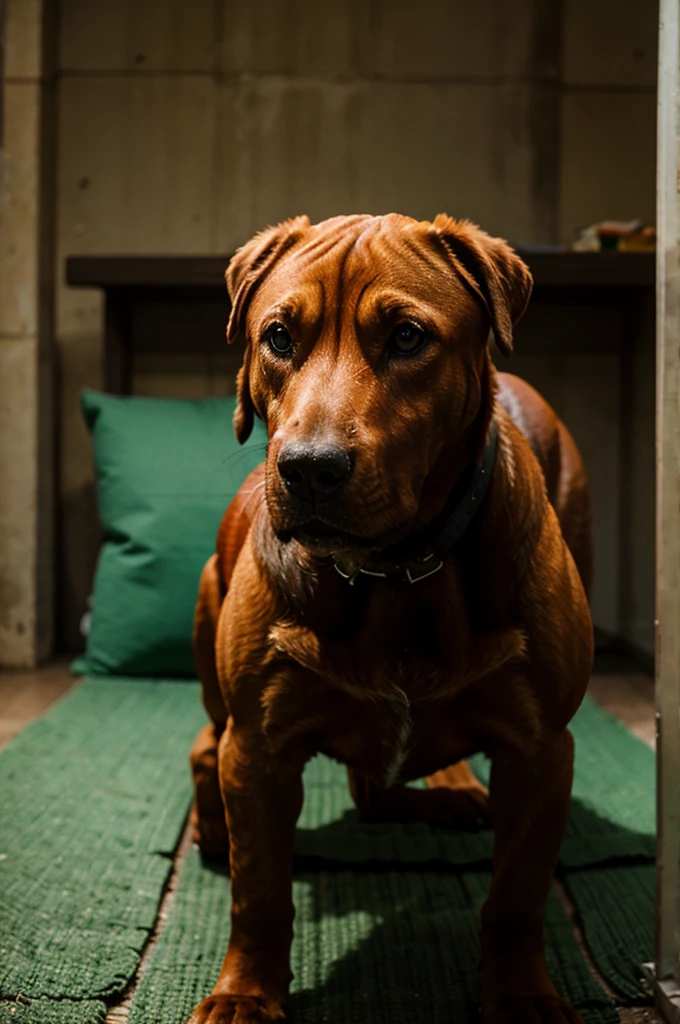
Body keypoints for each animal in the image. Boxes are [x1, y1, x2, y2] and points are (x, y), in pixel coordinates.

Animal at [188, 214, 593, 1024]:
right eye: (278, 337)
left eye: (407, 337)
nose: (308, 468)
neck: (396, 573)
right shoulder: (259, 749)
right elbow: (260, 894)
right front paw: (245, 992)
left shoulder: (542, 750)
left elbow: (517, 896)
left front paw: (521, 995)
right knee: (206, 751)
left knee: (380, 784)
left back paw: (453, 789)